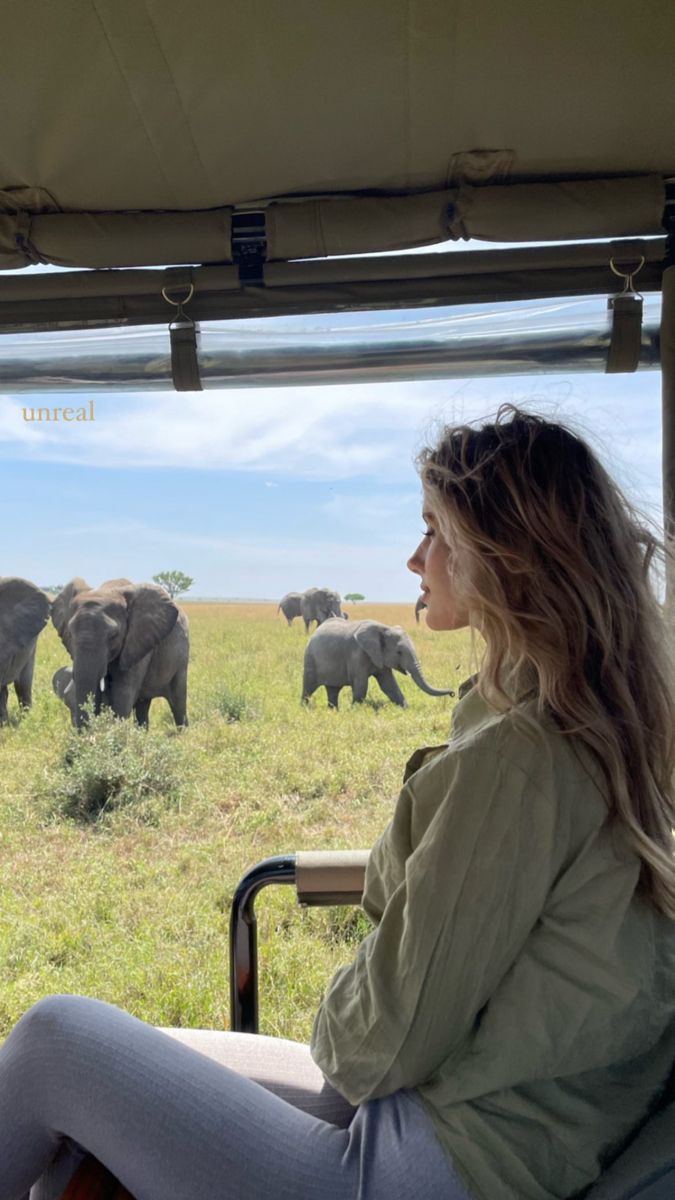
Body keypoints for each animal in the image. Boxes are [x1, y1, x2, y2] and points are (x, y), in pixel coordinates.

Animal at [51, 573, 187, 724]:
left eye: (113, 635)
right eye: (70, 633)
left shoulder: (137, 642)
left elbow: (122, 696)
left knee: (178, 703)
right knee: (142, 707)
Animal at [300, 614, 454, 705]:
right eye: (399, 652)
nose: (453, 693)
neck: (384, 628)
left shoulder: (381, 656)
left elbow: (389, 685)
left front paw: (406, 708)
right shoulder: (358, 653)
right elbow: (362, 685)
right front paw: (355, 711)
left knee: (333, 690)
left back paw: (334, 712)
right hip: (310, 658)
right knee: (308, 688)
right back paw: (305, 709)